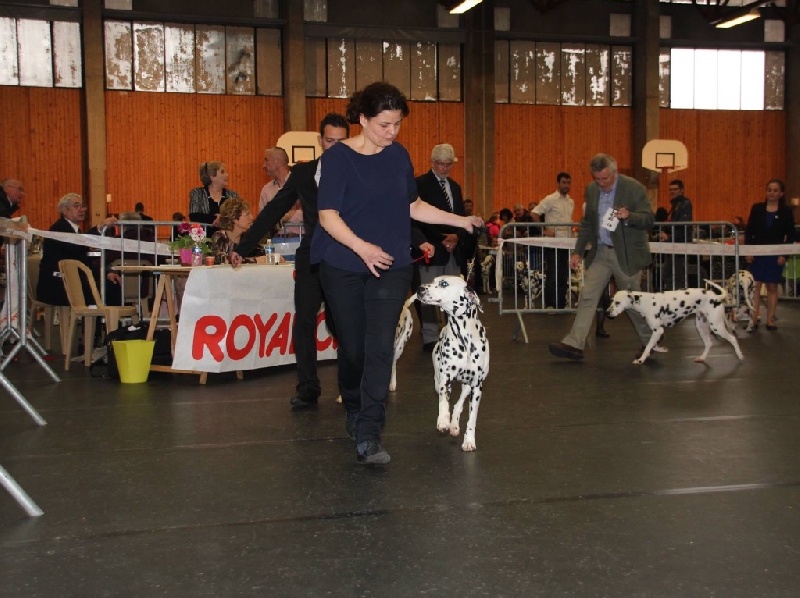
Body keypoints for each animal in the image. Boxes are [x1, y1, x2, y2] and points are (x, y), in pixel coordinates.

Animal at [416, 275, 489, 451]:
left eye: (444, 283)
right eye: (433, 281)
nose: (419, 289)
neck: (465, 339)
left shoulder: (477, 388)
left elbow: (472, 418)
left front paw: (469, 440)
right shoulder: (445, 380)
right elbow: (444, 402)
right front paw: (443, 421)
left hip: (468, 387)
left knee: (458, 404)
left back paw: (455, 425)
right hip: (438, 382)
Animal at [607, 281, 744, 365]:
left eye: (617, 302)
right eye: (612, 300)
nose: (608, 313)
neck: (645, 301)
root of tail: (715, 297)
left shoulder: (658, 330)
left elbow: (648, 346)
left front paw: (641, 360)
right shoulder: (657, 332)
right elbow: (651, 344)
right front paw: (659, 349)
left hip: (717, 327)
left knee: (732, 338)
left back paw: (740, 355)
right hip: (701, 326)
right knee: (709, 343)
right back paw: (702, 358)